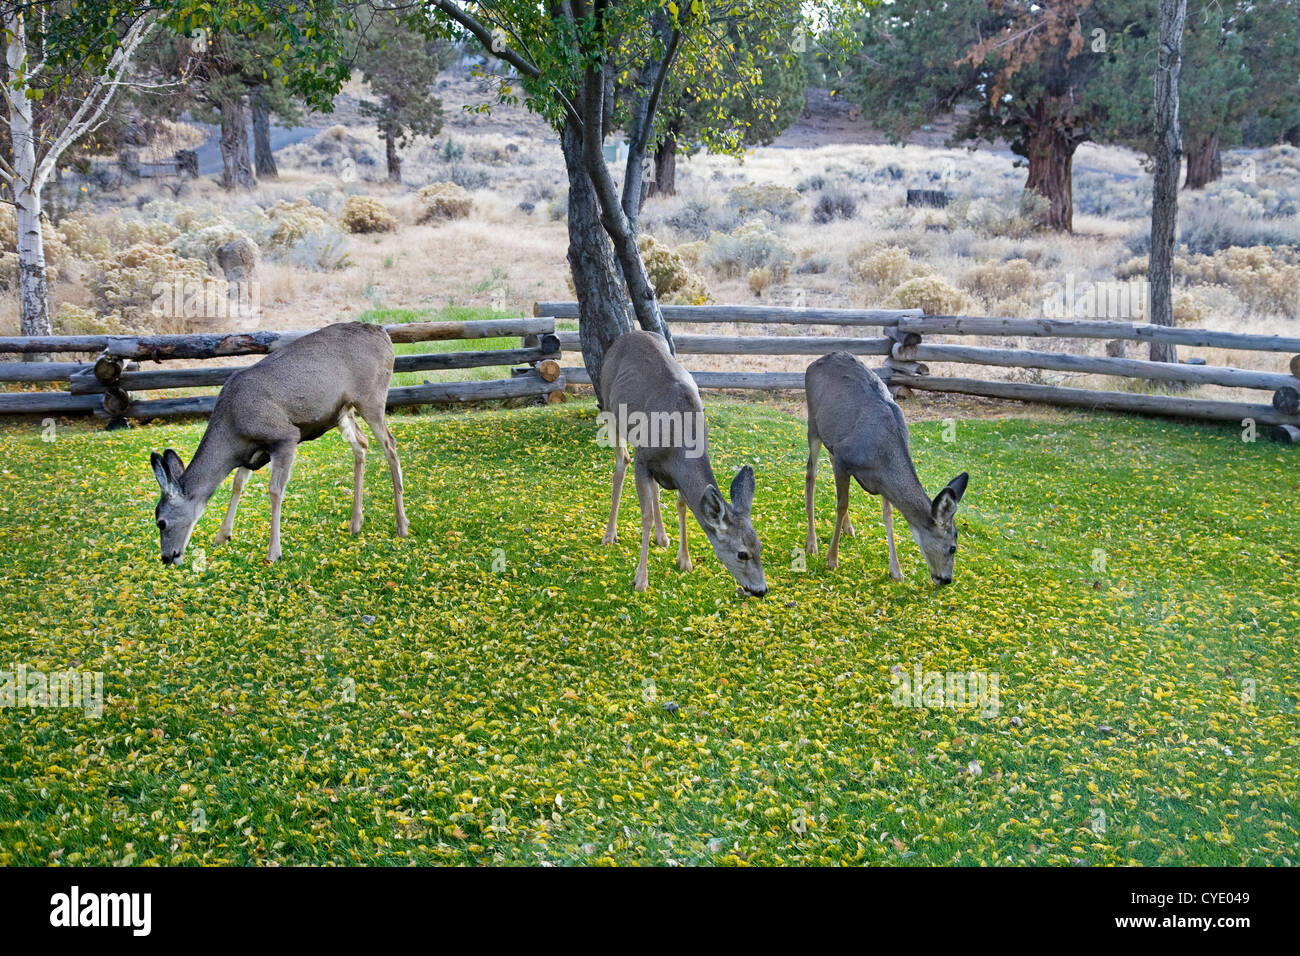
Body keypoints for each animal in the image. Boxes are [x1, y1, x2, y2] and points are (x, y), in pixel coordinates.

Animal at [150, 321, 408, 565]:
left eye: (161, 522)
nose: (167, 557)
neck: (233, 431)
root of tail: (382, 333)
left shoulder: (284, 436)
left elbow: (275, 491)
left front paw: (273, 552)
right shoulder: (251, 454)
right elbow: (237, 484)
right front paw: (222, 535)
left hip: (372, 397)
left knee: (391, 445)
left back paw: (401, 525)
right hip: (342, 412)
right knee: (361, 444)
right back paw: (356, 523)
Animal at [599, 330, 767, 596]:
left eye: (759, 546)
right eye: (742, 553)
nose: (761, 589)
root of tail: (628, 334)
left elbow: (682, 505)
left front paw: (685, 560)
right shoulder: (643, 459)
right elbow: (645, 515)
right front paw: (641, 579)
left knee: (654, 487)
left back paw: (662, 537)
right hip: (609, 409)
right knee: (621, 463)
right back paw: (609, 535)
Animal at [804, 351, 969, 585]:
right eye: (952, 548)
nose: (946, 579)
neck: (883, 455)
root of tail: (814, 362)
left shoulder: (876, 479)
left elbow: (888, 514)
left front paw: (896, 571)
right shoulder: (845, 457)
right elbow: (842, 504)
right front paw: (832, 559)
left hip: (832, 439)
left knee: (828, 459)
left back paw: (848, 528)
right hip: (813, 424)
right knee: (811, 473)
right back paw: (812, 543)